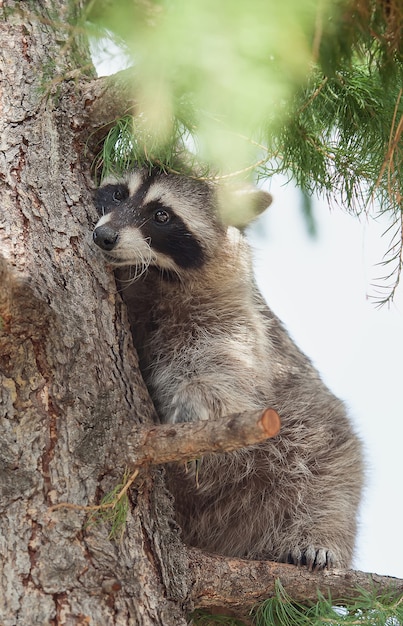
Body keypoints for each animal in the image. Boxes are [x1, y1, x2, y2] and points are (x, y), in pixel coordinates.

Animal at [93, 168, 364, 568]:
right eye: (117, 194)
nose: (104, 236)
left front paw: (197, 401)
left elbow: (221, 362)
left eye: (162, 215)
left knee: (332, 481)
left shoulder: (231, 309)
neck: (150, 274)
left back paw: (319, 535)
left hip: (313, 438)